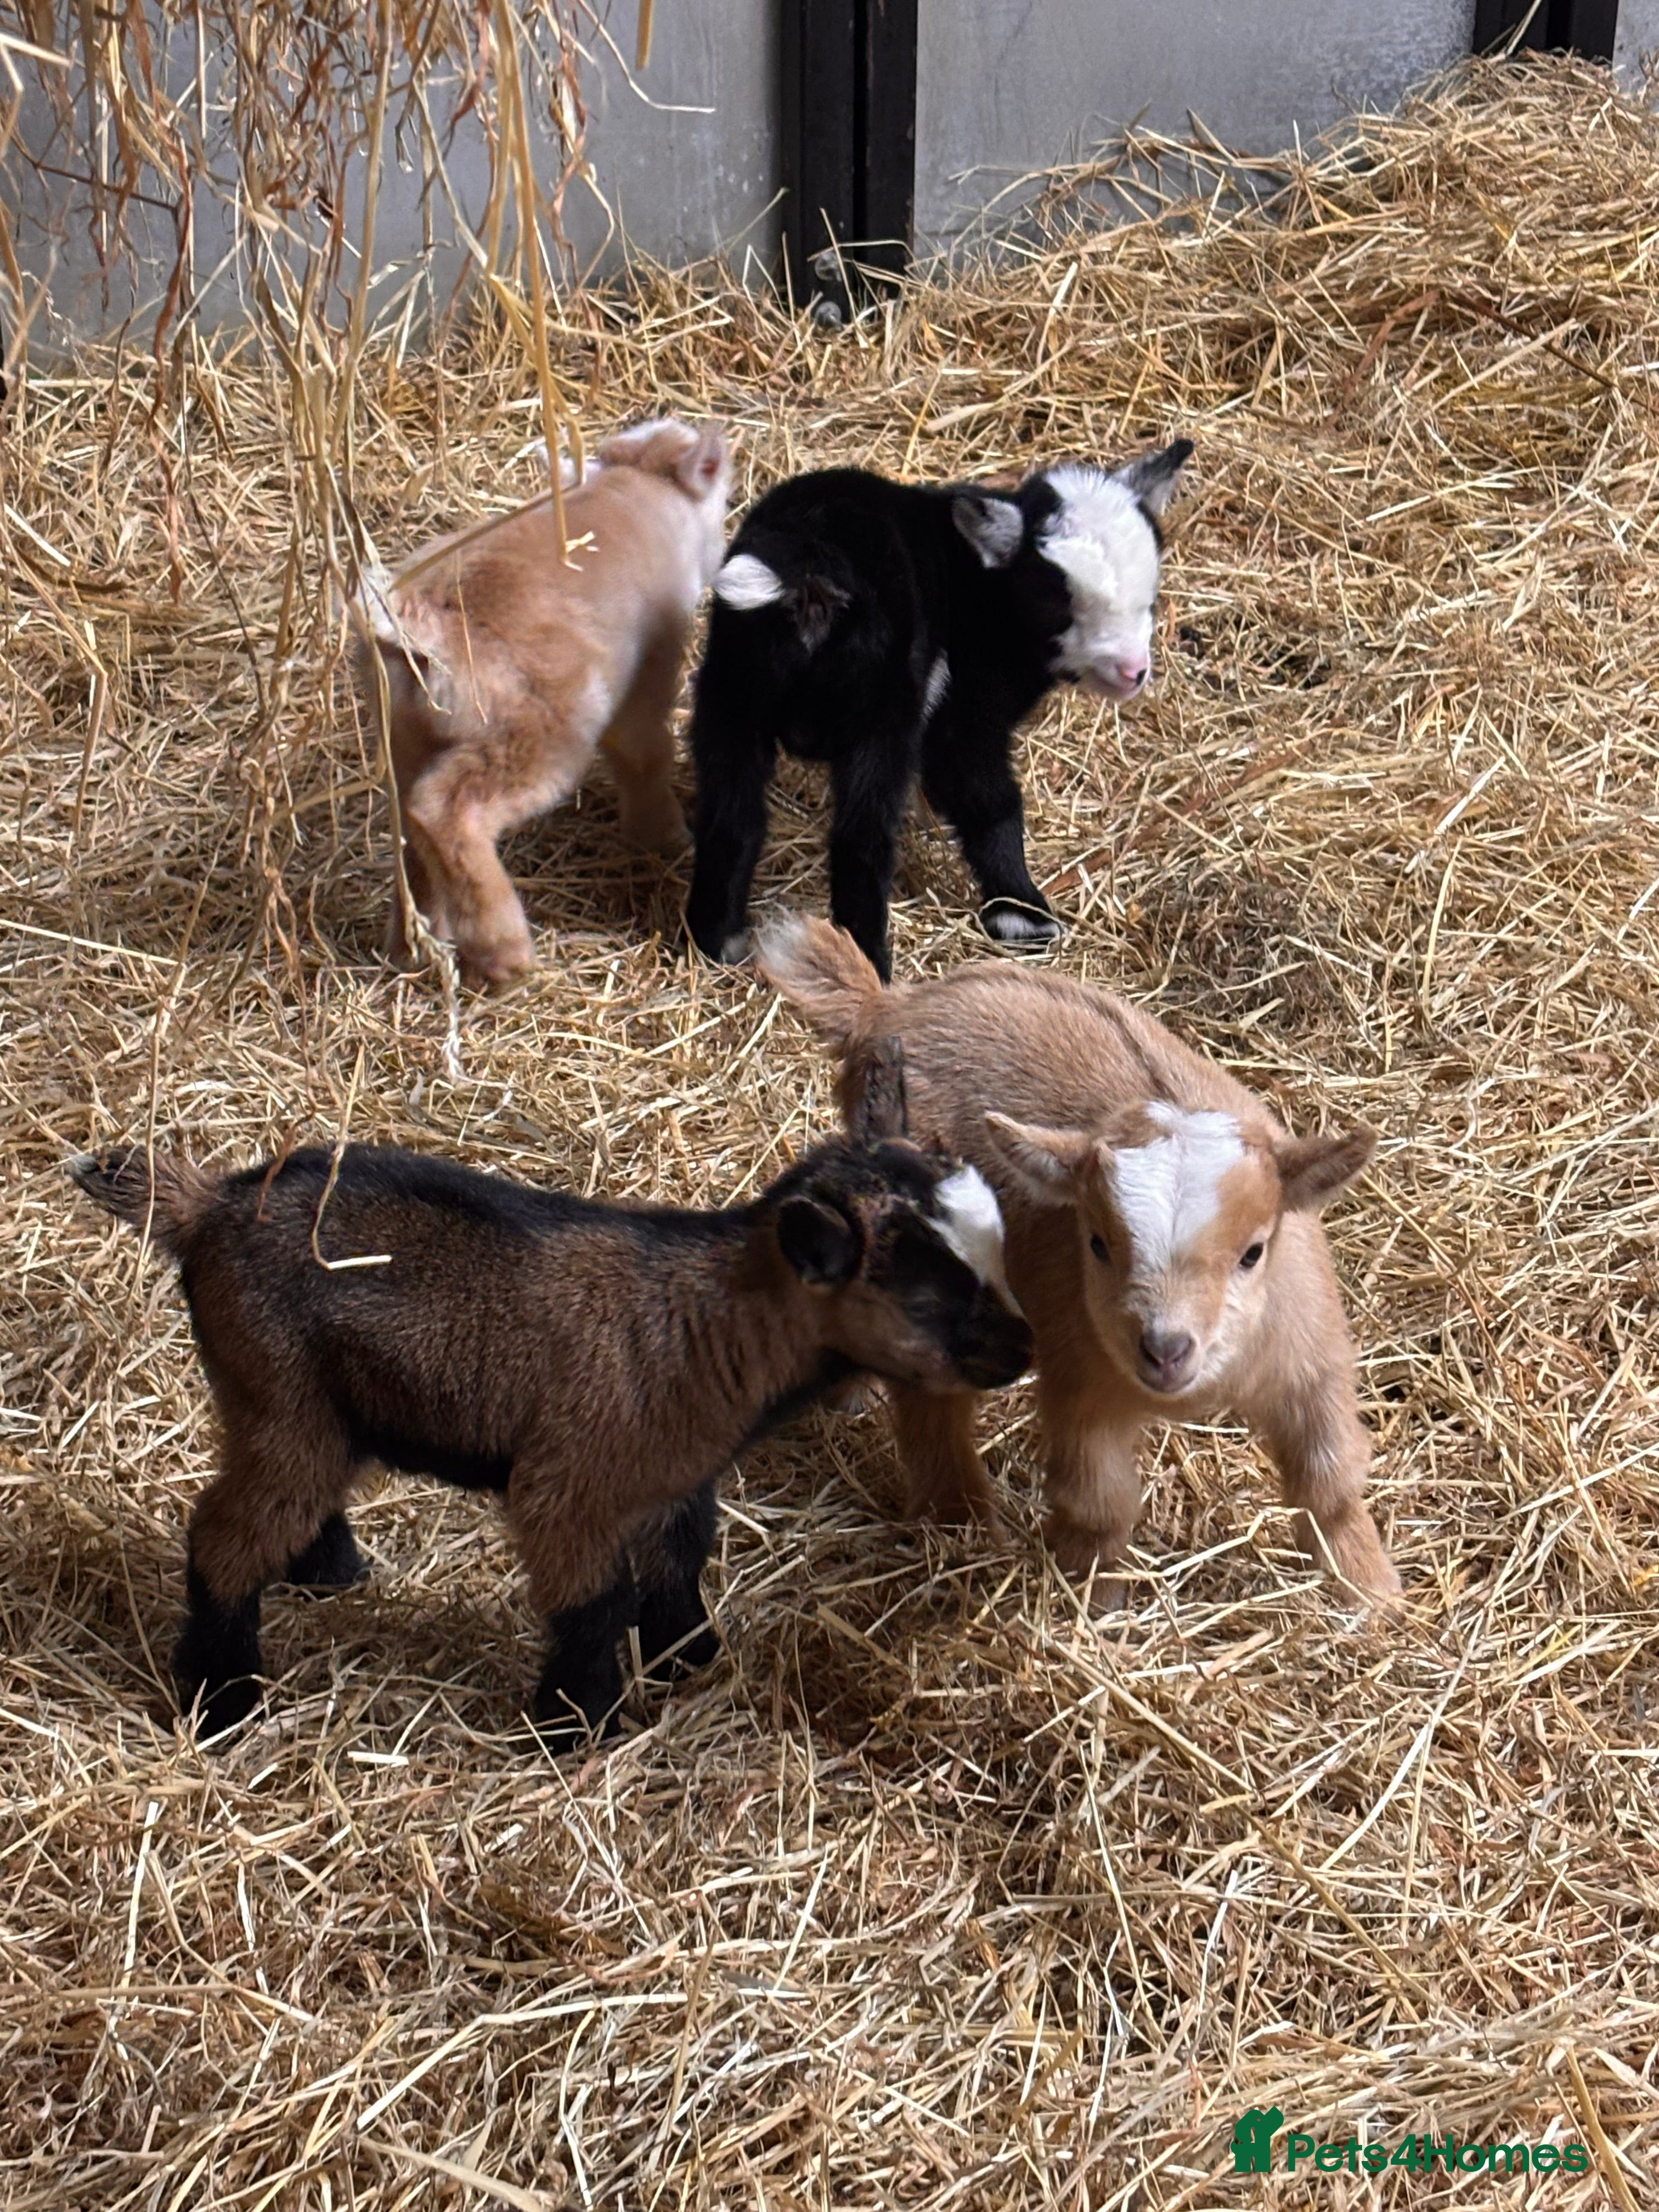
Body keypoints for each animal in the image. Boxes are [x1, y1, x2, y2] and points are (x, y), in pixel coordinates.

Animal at [69, 1064, 1032, 1745]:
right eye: (931, 1296)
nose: (1024, 1349)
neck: (708, 1321)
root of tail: (207, 1209)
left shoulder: (675, 1477)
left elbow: (678, 1566)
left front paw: (690, 1661)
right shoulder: (569, 1489)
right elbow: (593, 1604)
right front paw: (579, 1724)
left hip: (306, 1408)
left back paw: (330, 1573)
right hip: (279, 1393)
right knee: (228, 1534)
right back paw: (223, 1700)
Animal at [356, 417, 731, 989]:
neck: (641, 488)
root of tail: (421, 619)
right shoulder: (652, 663)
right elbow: (644, 753)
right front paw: (664, 837)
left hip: (403, 731)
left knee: (407, 829)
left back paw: (412, 946)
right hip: (541, 725)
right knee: (445, 810)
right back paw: (504, 954)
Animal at [684, 440, 1192, 981]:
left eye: (1150, 598)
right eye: (1058, 602)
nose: (1133, 671)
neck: (982, 590)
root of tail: (810, 574)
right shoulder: (964, 712)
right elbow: (989, 800)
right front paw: (1022, 913)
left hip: (731, 693)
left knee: (733, 817)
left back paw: (717, 940)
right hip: (881, 717)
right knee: (861, 835)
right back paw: (869, 960)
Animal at [759, 919, 1401, 1610]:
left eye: (1253, 1252)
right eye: (1096, 1243)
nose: (1165, 1350)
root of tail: (888, 1004)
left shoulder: (1310, 1361)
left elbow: (1330, 1482)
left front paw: (1372, 1594)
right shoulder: (1081, 1379)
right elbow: (1098, 1502)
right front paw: (1092, 1599)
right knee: (931, 1402)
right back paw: (961, 1522)